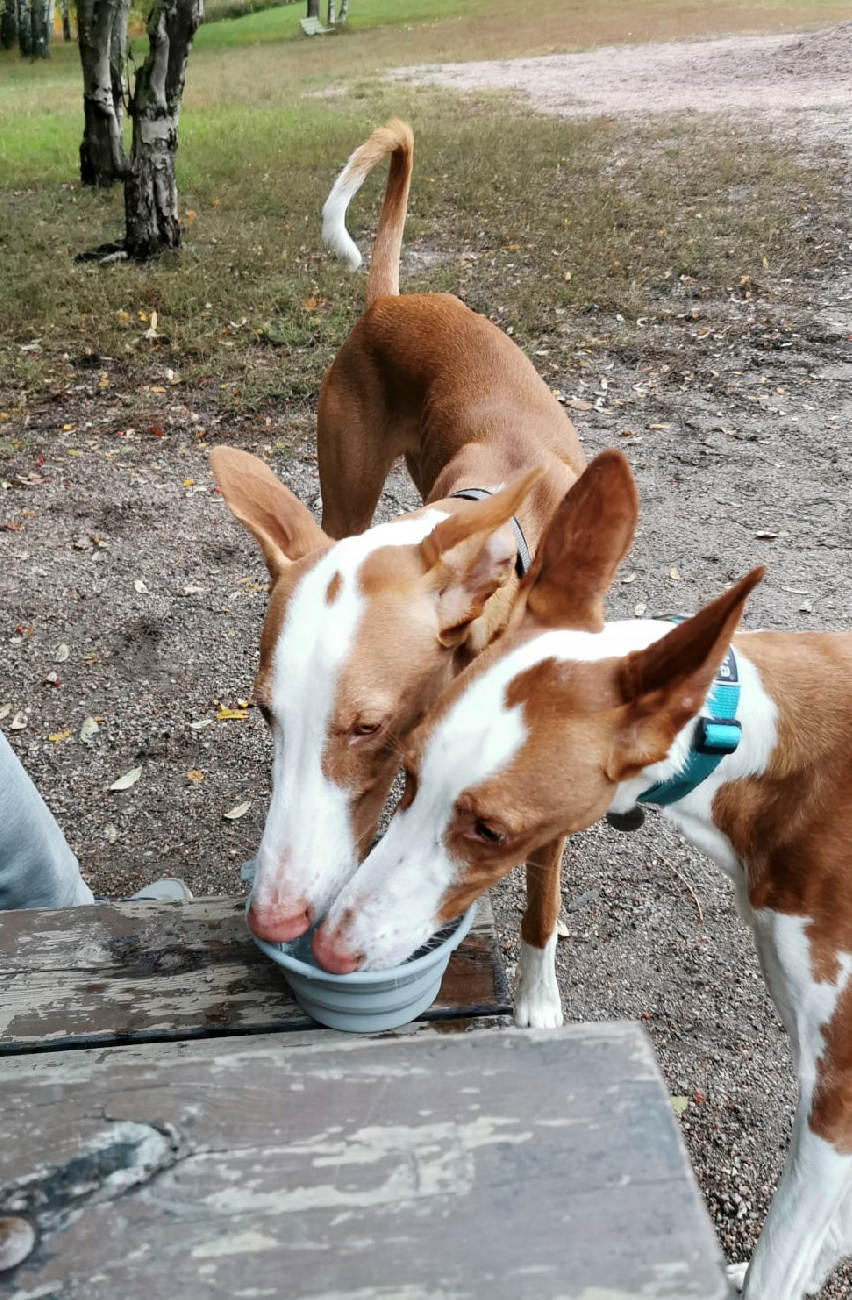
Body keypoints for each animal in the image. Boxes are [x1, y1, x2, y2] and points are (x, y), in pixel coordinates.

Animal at [213, 119, 587, 1024]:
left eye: (366, 727)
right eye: (265, 714)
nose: (274, 921)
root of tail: (390, 300)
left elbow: (541, 896)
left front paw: (537, 997)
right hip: (343, 485)